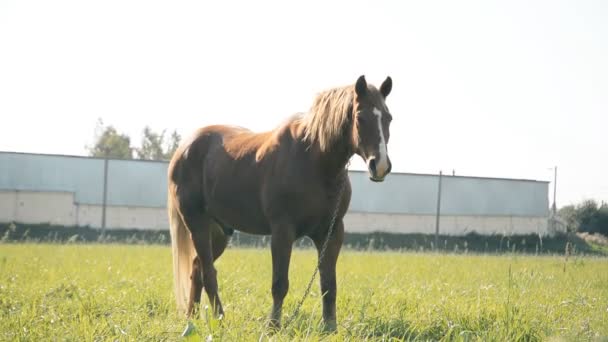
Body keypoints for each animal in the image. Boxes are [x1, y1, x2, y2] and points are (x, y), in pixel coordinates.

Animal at [167, 75, 394, 332]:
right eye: (360, 117)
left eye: (388, 118)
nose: (380, 166)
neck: (314, 161)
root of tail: (184, 149)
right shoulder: (282, 231)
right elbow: (280, 283)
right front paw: (273, 326)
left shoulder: (332, 232)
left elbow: (329, 284)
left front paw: (330, 328)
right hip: (197, 224)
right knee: (208, 273)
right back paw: (220, 320)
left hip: (219, 231)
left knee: (196, 268)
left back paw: (191, 318)